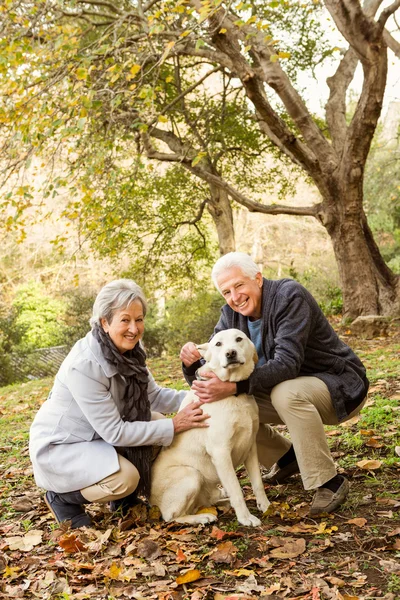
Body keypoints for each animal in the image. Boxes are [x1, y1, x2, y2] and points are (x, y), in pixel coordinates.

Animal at [150, 328, 268, 524]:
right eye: (218, 344)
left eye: (239, 339)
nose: (230, 353)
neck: (234, 396)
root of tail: (150, 501)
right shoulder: (221, 453)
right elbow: (236, 490)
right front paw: (245, 518)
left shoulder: (251, 447)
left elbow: (257, 482)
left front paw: (265, 505)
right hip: (191, 475)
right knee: (171, 516)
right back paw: (202, 517)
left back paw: (221, 504)